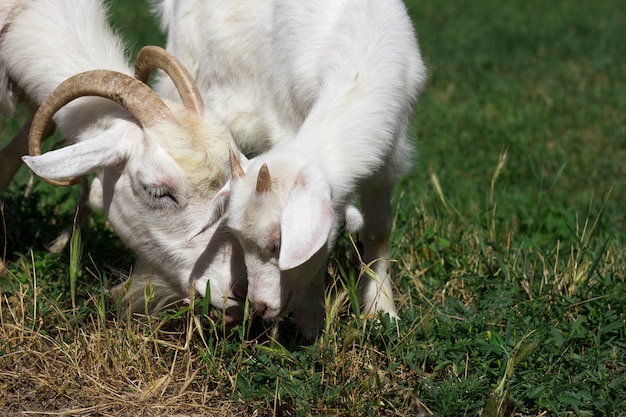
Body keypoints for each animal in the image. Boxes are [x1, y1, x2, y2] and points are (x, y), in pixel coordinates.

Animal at [156, 0, 426, 338]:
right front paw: (310, 324)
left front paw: (382, 312)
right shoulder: (287, 118)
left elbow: (378, 231)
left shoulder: (388, 162)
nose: (260, 306)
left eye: (278, 243)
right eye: (240, 241)